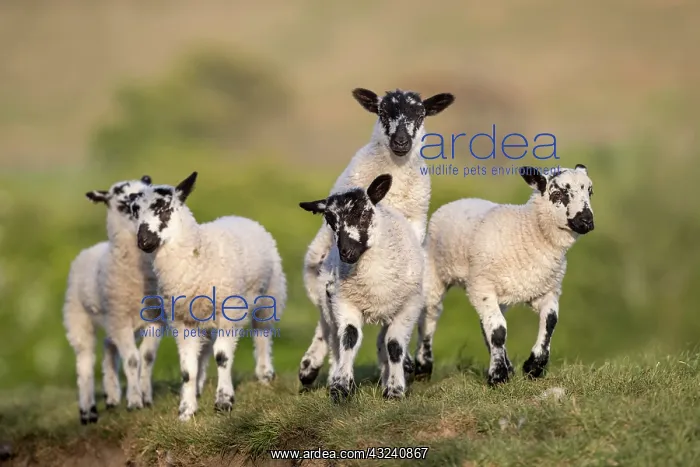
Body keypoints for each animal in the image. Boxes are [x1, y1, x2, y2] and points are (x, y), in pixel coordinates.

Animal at [63, 175, 161, 424]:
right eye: (123, 202)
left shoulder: (156, 320)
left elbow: (146, 357)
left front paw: (145, 396)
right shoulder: (120, 320)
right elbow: (133, 359)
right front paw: (134, 401)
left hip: (111, 320)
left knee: (108, 346)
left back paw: (112, 396)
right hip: (79, 317)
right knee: (85, 362)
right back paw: (88, 411)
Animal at [129, 171, 287, 421]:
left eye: (165, 210)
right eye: (134, 211)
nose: (144, 242)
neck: (197, 255)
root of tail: (238, 216)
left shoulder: (229, 311)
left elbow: (222, 357)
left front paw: (224, 402)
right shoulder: (182, 321)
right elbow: (187, 370)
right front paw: (186, 410)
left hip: (270, 295)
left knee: (262, 334)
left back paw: (264, 375)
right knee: (203, 351)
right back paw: (199, 388)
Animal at [299, 174, 424, 401]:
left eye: (364, 214)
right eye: (330, 220)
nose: (346, 253)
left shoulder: (409, 306)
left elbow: (394, 345)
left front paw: (394, 389)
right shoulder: (344, 302)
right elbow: (349, 338)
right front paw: (340, 386)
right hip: (328, 302)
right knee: (331, 335)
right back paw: (314, 370)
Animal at [416, 165, 595, 384]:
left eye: (590, 192)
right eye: (558, 193)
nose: (587, 221)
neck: (528, 232)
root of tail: (457, 201)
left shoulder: (547, 289)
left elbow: (550, 321)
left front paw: (533, 366)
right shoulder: (482, 287)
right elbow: (498, 330)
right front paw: (498, 376)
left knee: (484, 325)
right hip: (436, 274)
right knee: (429, 316)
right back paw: (422, 368)